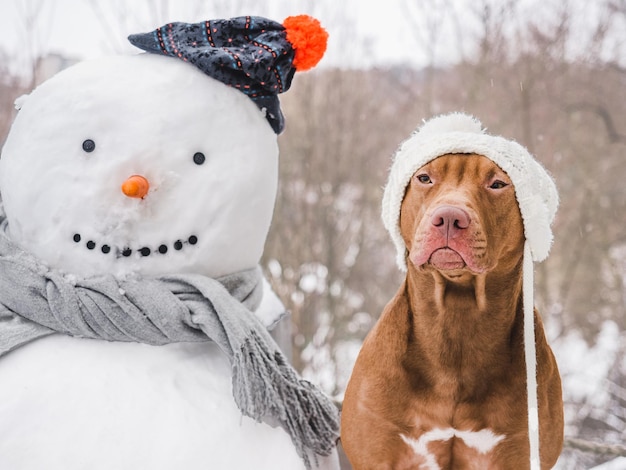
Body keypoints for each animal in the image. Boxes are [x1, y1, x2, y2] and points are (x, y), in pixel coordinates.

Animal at [338, 152, 564, 468]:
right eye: (424, 178)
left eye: (497, 184)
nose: (448, 217)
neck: (457, 317)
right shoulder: (378, 452)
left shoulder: (519, 454)